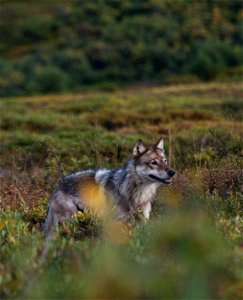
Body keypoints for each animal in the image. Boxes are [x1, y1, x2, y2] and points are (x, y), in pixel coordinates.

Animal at [41, 138, 175, 234]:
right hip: (71, 217)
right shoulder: (116, 222)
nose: (172, 172)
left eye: (165, 161)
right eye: (154, 163)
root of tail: (57, 185)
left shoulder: (143, 221)